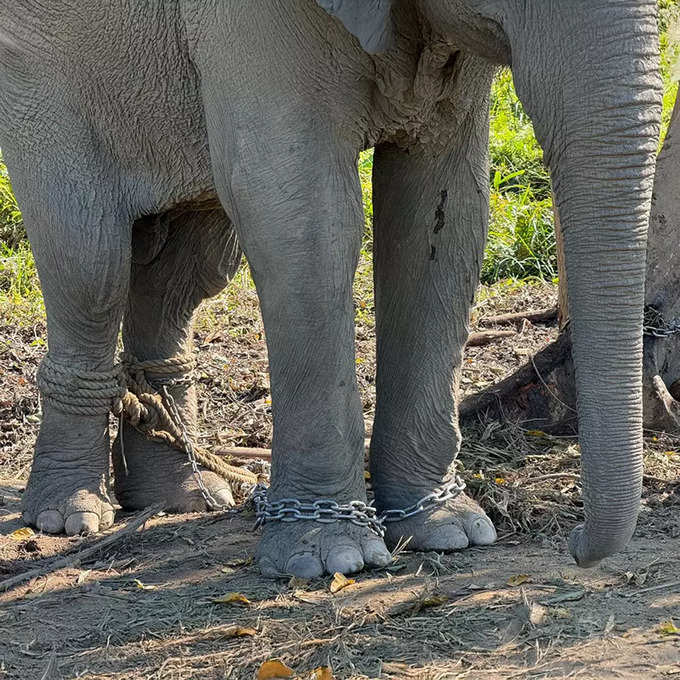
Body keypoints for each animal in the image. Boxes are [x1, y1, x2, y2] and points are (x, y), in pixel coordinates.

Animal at [0, 0, 660, 576]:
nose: (575, 543)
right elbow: (302, 210)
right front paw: (331, 559)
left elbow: (443, 208)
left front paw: (448, 530)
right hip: (41, 81)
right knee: (91, 262)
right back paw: (72, 516)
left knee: (186, 269)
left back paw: (187, 495)